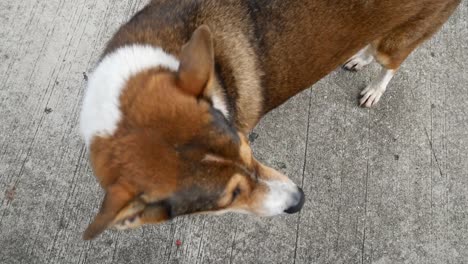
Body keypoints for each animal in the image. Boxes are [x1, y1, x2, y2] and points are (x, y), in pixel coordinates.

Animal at [79, 0, 460, 239]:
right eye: (229, 197)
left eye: (249, 150)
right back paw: (358, 58)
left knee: (391, 62)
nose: (300, 201)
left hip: (399, 41)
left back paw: (374, 88)